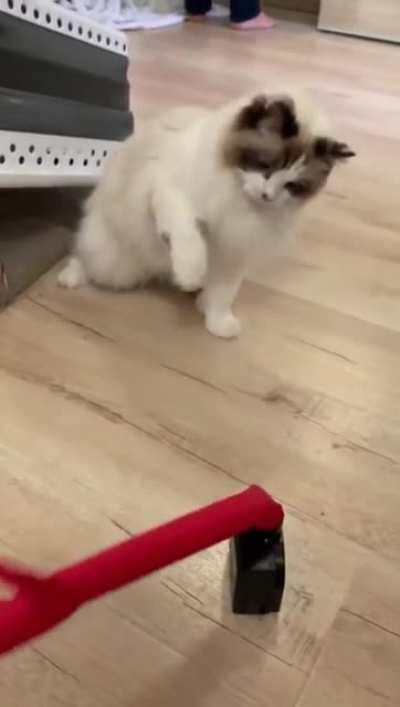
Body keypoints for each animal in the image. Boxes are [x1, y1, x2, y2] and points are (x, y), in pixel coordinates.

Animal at [58, 91, 355, 338]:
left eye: (292, 186)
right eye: (265, 166)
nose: (267, 195)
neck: (238, 200)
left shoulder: (234, 248)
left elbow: (224, 293)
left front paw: (217, 323)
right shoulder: (169, 193)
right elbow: (189, 238)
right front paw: (191, 276)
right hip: (116, 267)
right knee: (84, 259)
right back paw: (69, 277)